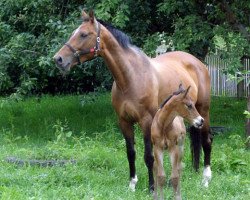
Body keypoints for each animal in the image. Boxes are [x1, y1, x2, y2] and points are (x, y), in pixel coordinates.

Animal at [53, 10, 213, 191]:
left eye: (83, 34)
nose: (58, 59)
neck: (130, 77)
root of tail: (197, 62)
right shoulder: (124, 121)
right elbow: (131, 153)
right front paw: (132, 184)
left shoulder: (147, 121)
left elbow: (149, 156)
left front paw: (152, 187)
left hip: (202, 111)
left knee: (207, 142)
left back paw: (206, 179)